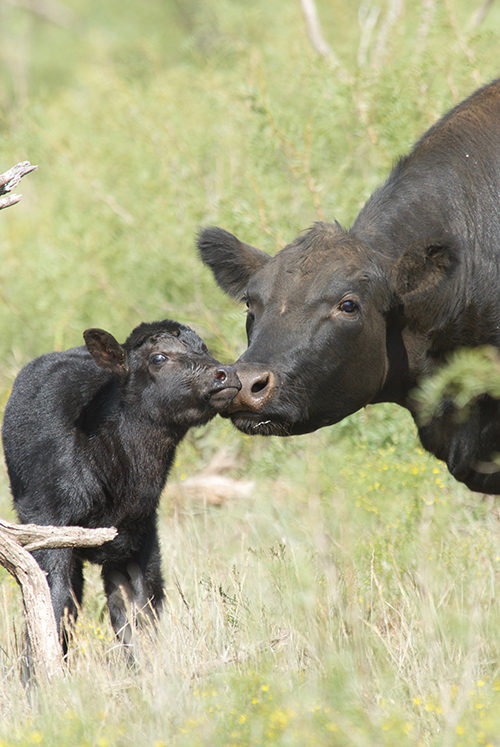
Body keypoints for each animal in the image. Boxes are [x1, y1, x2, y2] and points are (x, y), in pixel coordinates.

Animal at [1, 322, 240, 656]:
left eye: (203, 348)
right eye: (158, 357)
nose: (226, 374)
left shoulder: (139, 535)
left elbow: (139, 613)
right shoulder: (47, 525)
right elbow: (51, 605)